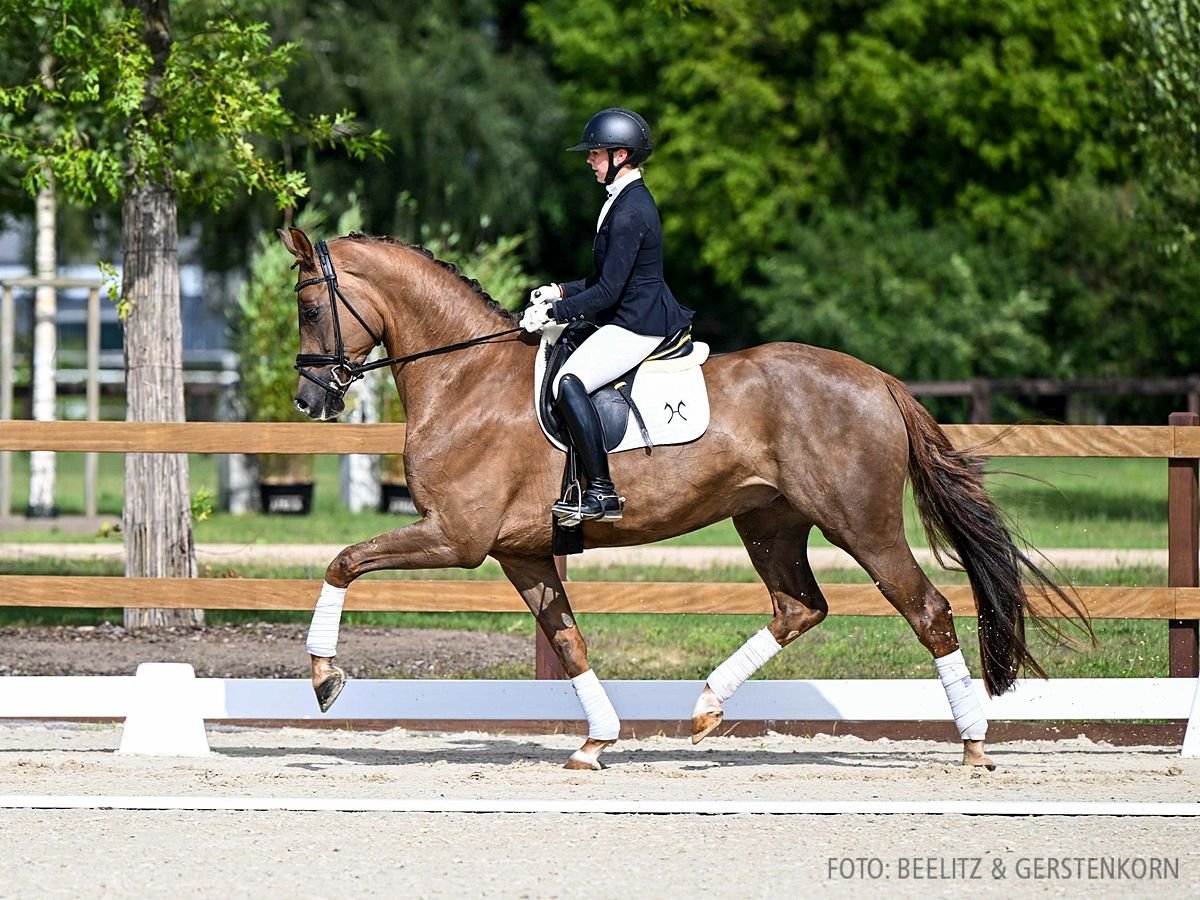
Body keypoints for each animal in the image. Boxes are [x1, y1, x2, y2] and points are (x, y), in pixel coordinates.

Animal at [280, 229, 1089, 772]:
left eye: (311, 307)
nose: (309, 399)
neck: (465, 379)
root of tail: (880, 380)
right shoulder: (521, 552)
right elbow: (568, 641)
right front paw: (596, 742)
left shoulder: (456, 537)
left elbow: (343, 561)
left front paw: (324, 677)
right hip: (768, 521)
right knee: (800, 607)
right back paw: (704, 709)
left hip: (860, 523)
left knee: (927, 610)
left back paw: (975, 747)